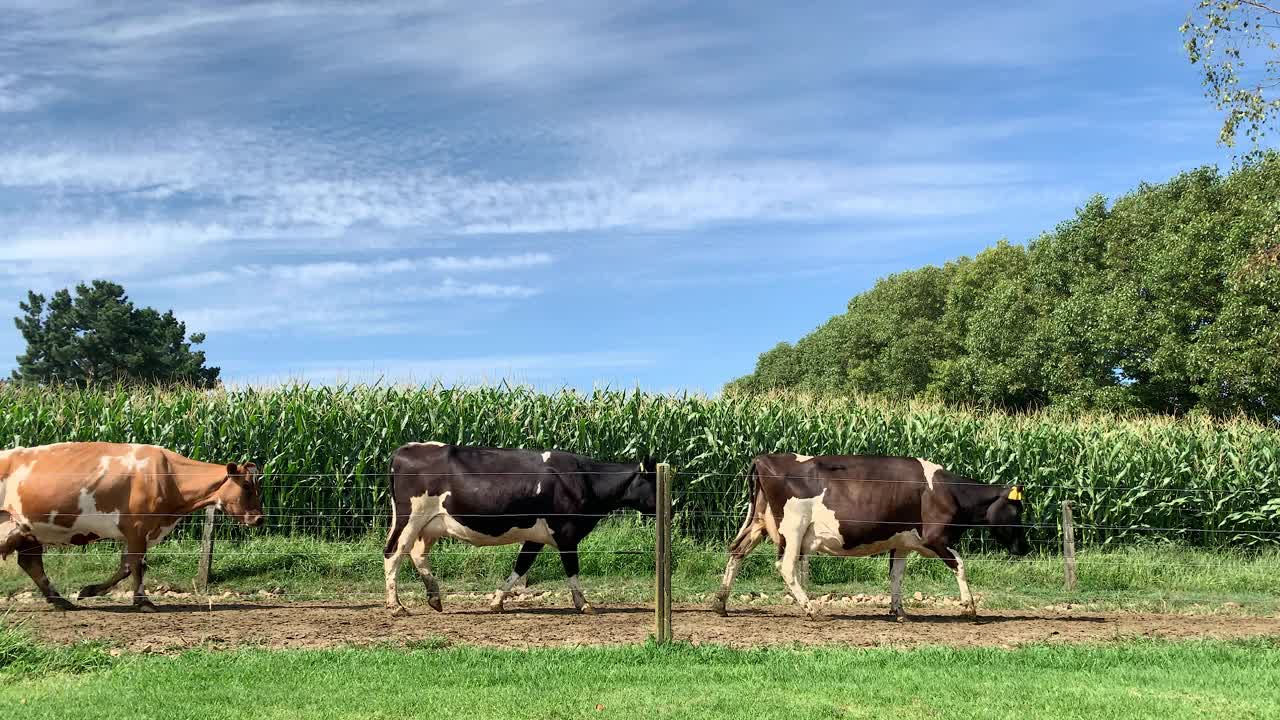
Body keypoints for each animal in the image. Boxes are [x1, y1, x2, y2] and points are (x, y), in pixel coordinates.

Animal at [0, 440, 262, 607]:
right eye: (246, 487)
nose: (260, 518)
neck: (170, 476)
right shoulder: (137, 528)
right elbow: (137, 565)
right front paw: (143, 602)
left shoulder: (136, 533)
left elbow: (127, 566)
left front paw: (90, 591)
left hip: (28, 532)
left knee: (31, 564)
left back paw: (61, 602)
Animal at [381, 440, 655, 614]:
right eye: (654, 479)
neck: (585, 479)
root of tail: (405, 449)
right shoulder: (566, 532)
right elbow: (572, 569)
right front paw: (584, 604)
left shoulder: (536, 537)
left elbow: (521, 565)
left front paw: (497, 601)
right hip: (410, 518)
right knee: (393, 553)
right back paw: (396, 607)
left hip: (429, 526)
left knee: (417, 554)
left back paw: (434, 598)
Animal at [711, 453, 1029, 617]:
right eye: (1018, 510)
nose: (1025, 548)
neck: (947, 491)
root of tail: (764, 457)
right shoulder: (936, 539)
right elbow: (961, 565)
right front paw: (969, 609)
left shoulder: (902, 542)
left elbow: (896, 576)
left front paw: (898, 611)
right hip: (792, 528)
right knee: (785, 566)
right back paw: (810, 608)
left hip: (760, 524)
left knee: (736, 552)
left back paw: (721, 603)